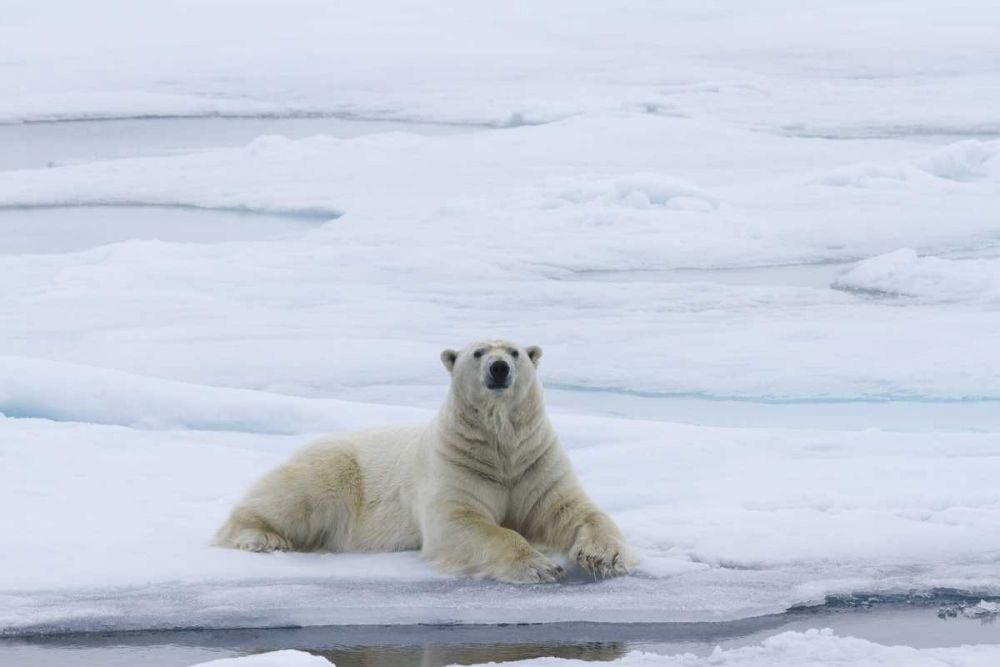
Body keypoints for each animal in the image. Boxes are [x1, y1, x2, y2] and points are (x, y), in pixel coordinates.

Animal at [213, 339, 637, 583]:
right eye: (478, 353)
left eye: (515, 352)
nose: (499, 367)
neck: (500, 446)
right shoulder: (455, 464)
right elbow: (462, 523)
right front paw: (540, 566)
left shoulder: (533, 461)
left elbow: (572, 510)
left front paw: (605, 557)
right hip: (335, 467)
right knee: (293, 496)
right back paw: (261, 537)